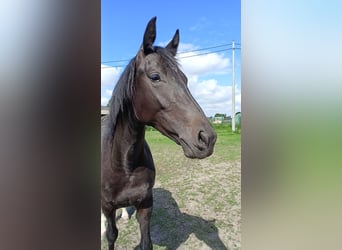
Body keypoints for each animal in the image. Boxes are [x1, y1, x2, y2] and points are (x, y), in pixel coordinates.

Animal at [100, 16, 216, 249]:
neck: (124, 164)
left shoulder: (146, 205)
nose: (207, 138)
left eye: (186, 79)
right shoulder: (107, 207)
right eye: (155, 77)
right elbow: (111, 235)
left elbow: (147, 242)